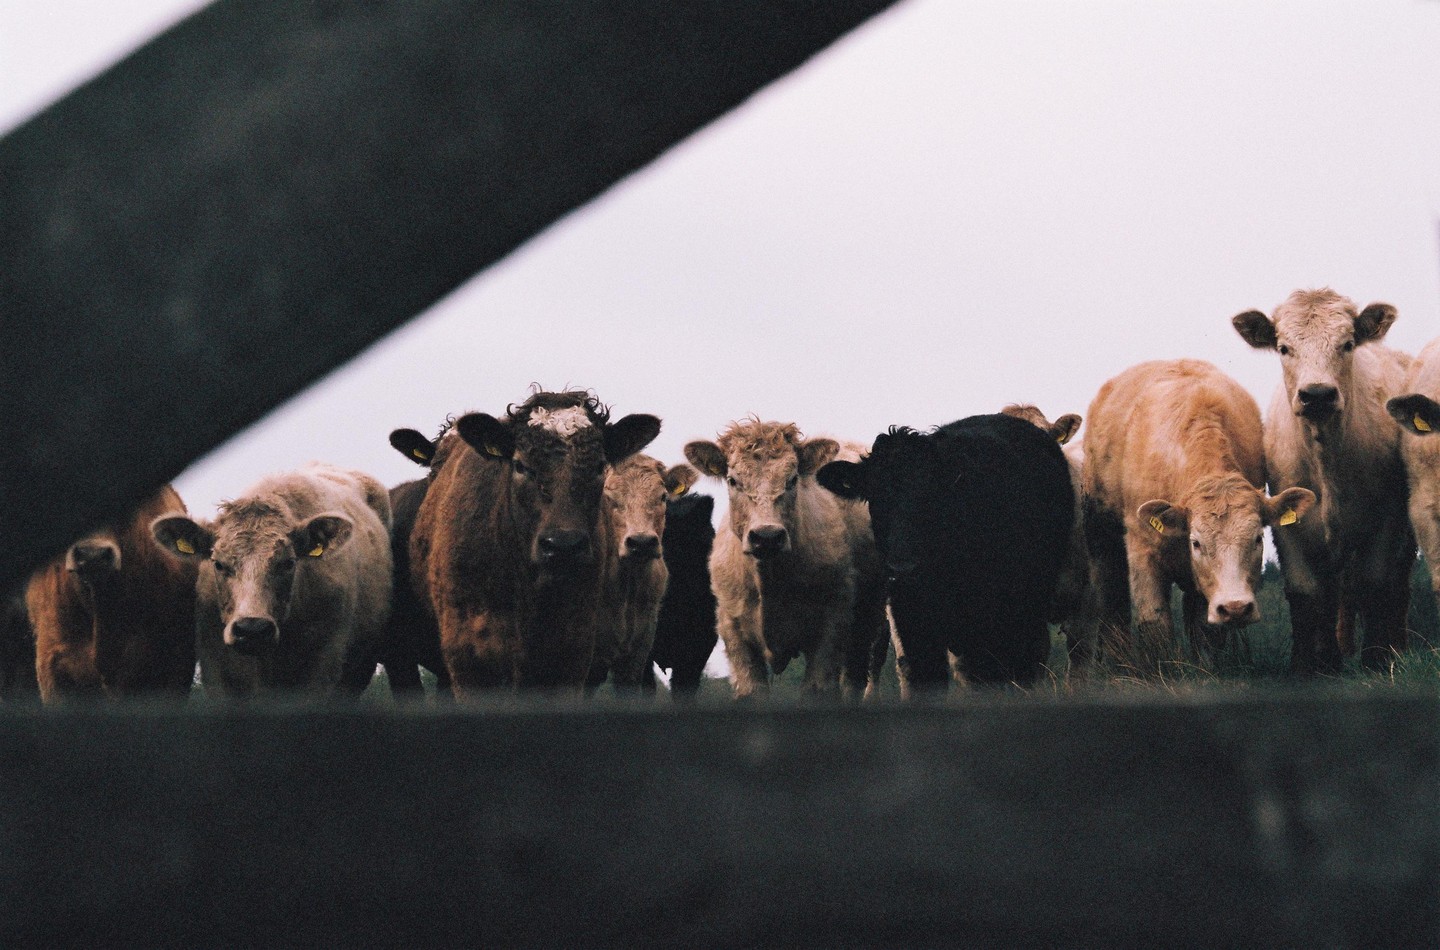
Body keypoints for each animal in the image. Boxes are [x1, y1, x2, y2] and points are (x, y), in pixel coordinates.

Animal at [685, 420, 887, 699]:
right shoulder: (733, 630)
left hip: (866, 620)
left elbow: (816, 689)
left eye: (792, 480)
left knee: (853, 680)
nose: (767, 536)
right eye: (733, 480)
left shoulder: (831, 625)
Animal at [1082, 360, 1315, 668]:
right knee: (1111, 600)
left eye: (1257, 539)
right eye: (1196, 542)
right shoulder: (1142, 550)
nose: (1235, 608)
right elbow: (1153, 620)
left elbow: (1205, 628)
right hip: (1101, 536)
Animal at [1234, 289, 1414, 673]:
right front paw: (1308, 665)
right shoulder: (1289, 522)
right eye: (1284, 347)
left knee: (1397, 585)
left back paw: (1397, 647)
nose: (1317, 394)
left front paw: (1375, 658)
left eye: (1347, 344)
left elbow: (1376, 583)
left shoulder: (1387, 519)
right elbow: (1306, 592)